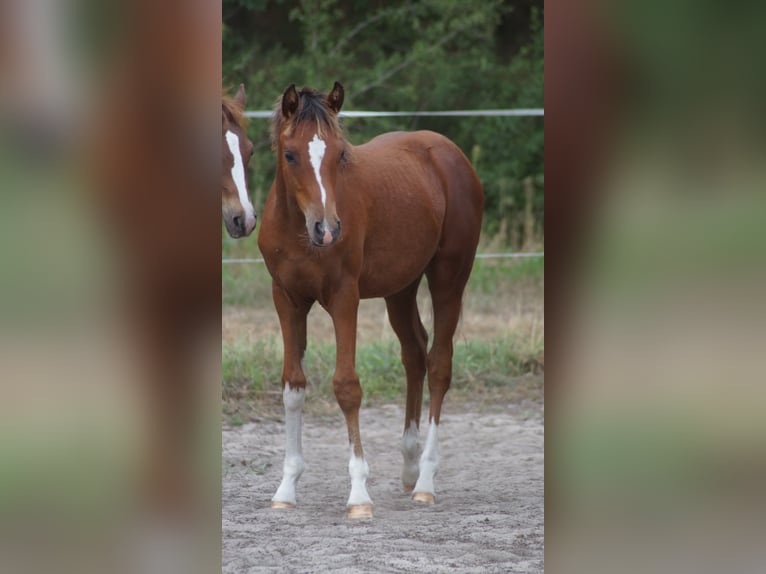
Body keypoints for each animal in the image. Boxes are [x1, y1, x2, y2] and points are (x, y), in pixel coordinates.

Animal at [258, 82, 484, 518]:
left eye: (340, 154)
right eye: (290, 154)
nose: (327, 229)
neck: (299, 232)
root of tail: (449, 153)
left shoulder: (345, 298)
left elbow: (347, 387)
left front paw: (359, 494)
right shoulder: (287, 299)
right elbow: (293, 387)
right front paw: (286, 488)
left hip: (449, 276)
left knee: (439, 364)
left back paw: (425, 481)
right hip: (401, 287)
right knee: (415, 352)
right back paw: (409, 467)